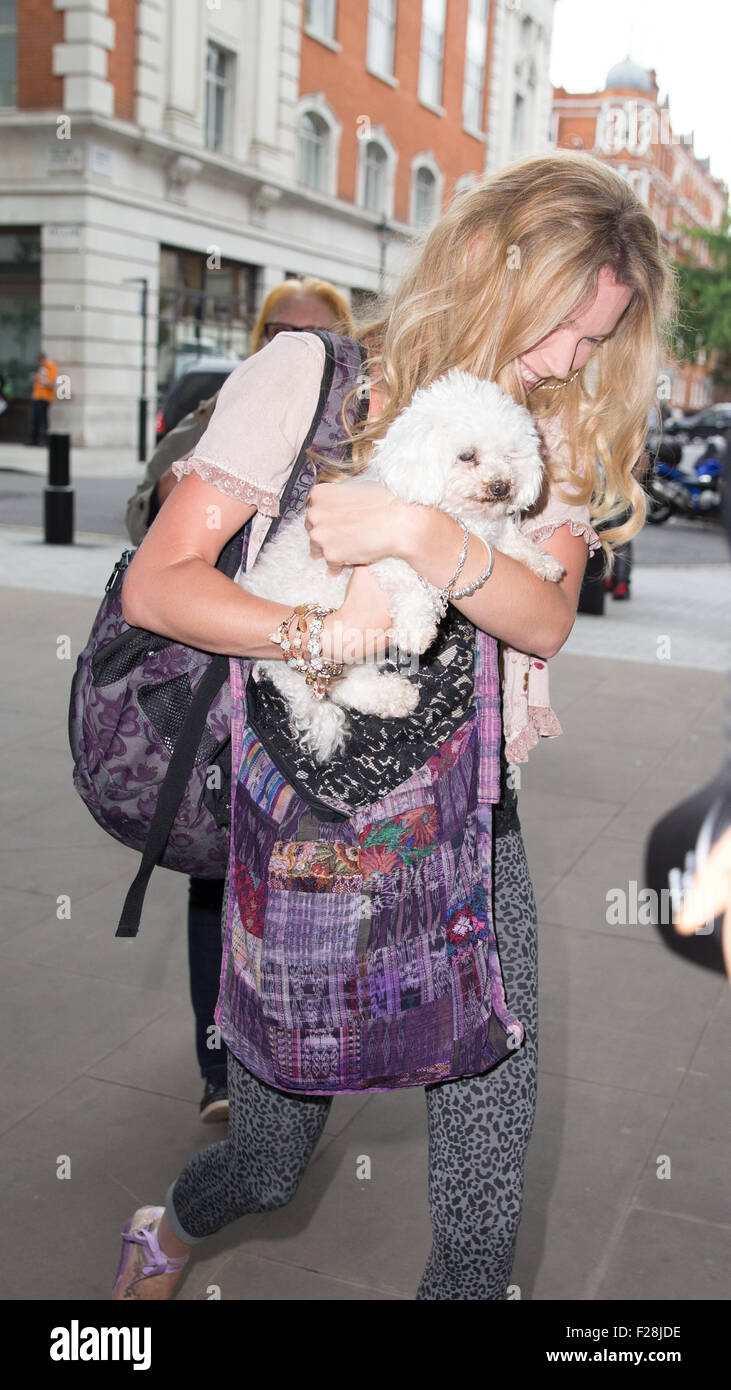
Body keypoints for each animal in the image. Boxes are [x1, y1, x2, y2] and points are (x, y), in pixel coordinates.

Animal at [240, 369, 567, 761]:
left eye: (510, 454)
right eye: (467, 456)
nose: (501, 486)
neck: (458, 515)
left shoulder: (491, 533)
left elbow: (514, 541)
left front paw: (545, 564)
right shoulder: (384, 553)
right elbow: (411, 587)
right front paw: (417, 629)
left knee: (348, 684)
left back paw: (393, 696)